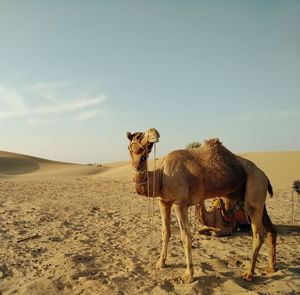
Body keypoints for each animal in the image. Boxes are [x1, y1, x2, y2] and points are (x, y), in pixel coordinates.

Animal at [125, 128, 276, 284]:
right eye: (137, 136)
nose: (154, 133)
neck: (161, 175)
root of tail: (264, 175)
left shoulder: (180, 203)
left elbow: (185, 235)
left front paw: (188, 275)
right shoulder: (163, 202)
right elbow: (165, 232)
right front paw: (160, 263)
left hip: (255, 188)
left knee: (258, 235)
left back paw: (248, 274)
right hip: (258, 199)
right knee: (271, 230)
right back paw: (271, 267)